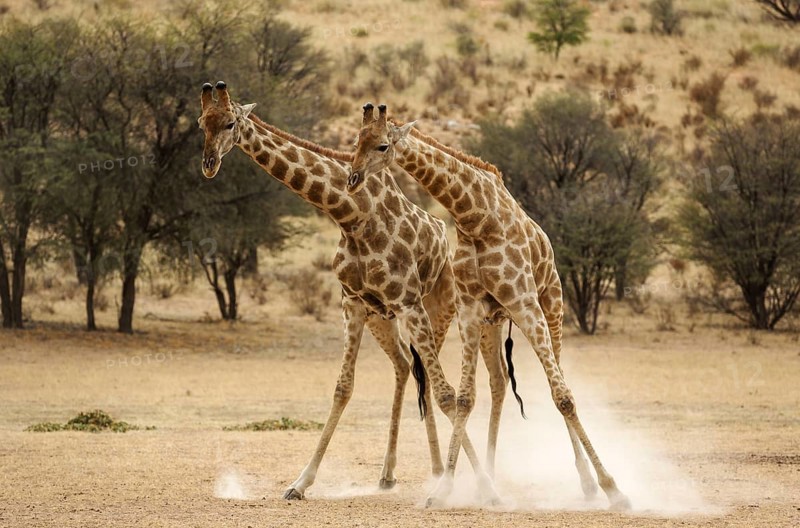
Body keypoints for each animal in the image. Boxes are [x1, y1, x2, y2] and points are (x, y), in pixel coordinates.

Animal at [198, 82, 497, 502]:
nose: (209, 164)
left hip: (435, 308)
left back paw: (441, 472)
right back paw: (394, 474)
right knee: (406, 366)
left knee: (431, 380)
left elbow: (446, 393)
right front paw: (299, 483)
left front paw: (483, 484)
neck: (351, 216)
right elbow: (343, 388)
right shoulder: (352, 304)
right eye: (200, 123)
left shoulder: (407, 302)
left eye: (228, 123)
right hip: (382, 317)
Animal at [348, 104, 631, 510]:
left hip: (552, 305)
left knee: (560, 379)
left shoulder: (524, 302)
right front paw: (443, 489)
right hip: (495, 320)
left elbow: (562, 396)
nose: (353, 178)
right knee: (499, 382)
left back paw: (588, 483)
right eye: (356, 140)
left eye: (383, 145)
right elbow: (465, 398)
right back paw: (495, 479)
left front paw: (613, 488)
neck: (474, 216)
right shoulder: (469, 309)